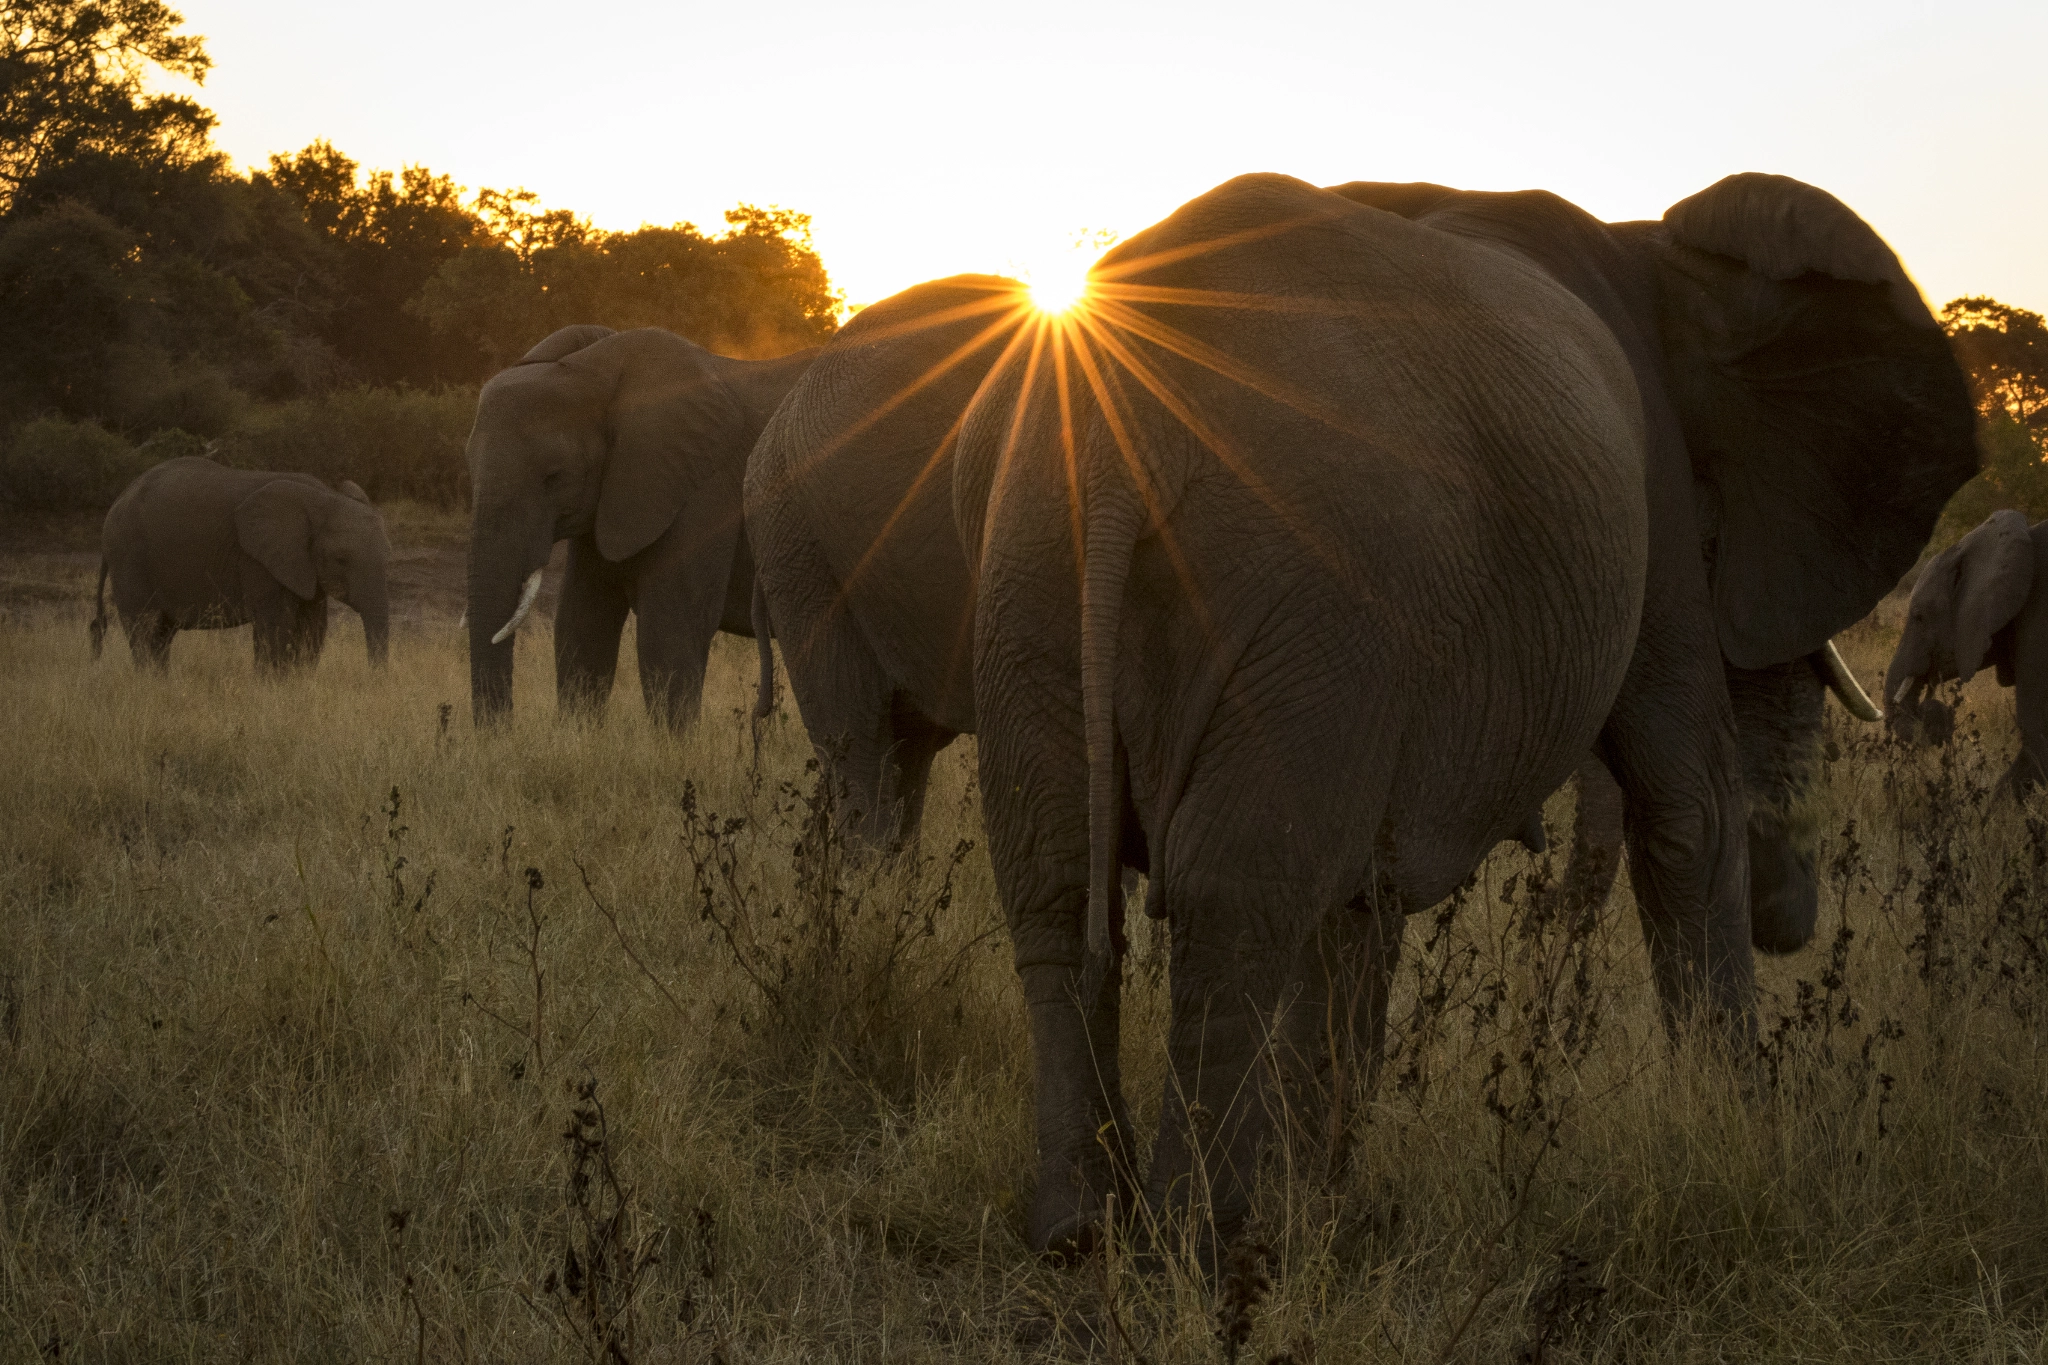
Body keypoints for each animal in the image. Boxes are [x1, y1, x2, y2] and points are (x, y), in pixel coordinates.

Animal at [958, 173, 1966, 1260]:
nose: (1792, 927)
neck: (1659, 252)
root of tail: (1117, 435)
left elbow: (1363, 901)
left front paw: (1315, 1207)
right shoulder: (1648, 506)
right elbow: (1689, 804)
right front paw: (1748, 1136)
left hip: (1030, 570)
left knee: (1058, 885)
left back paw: (1079, 1232)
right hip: (1313, 589)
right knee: (1233, 893)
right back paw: (1204, 1244)